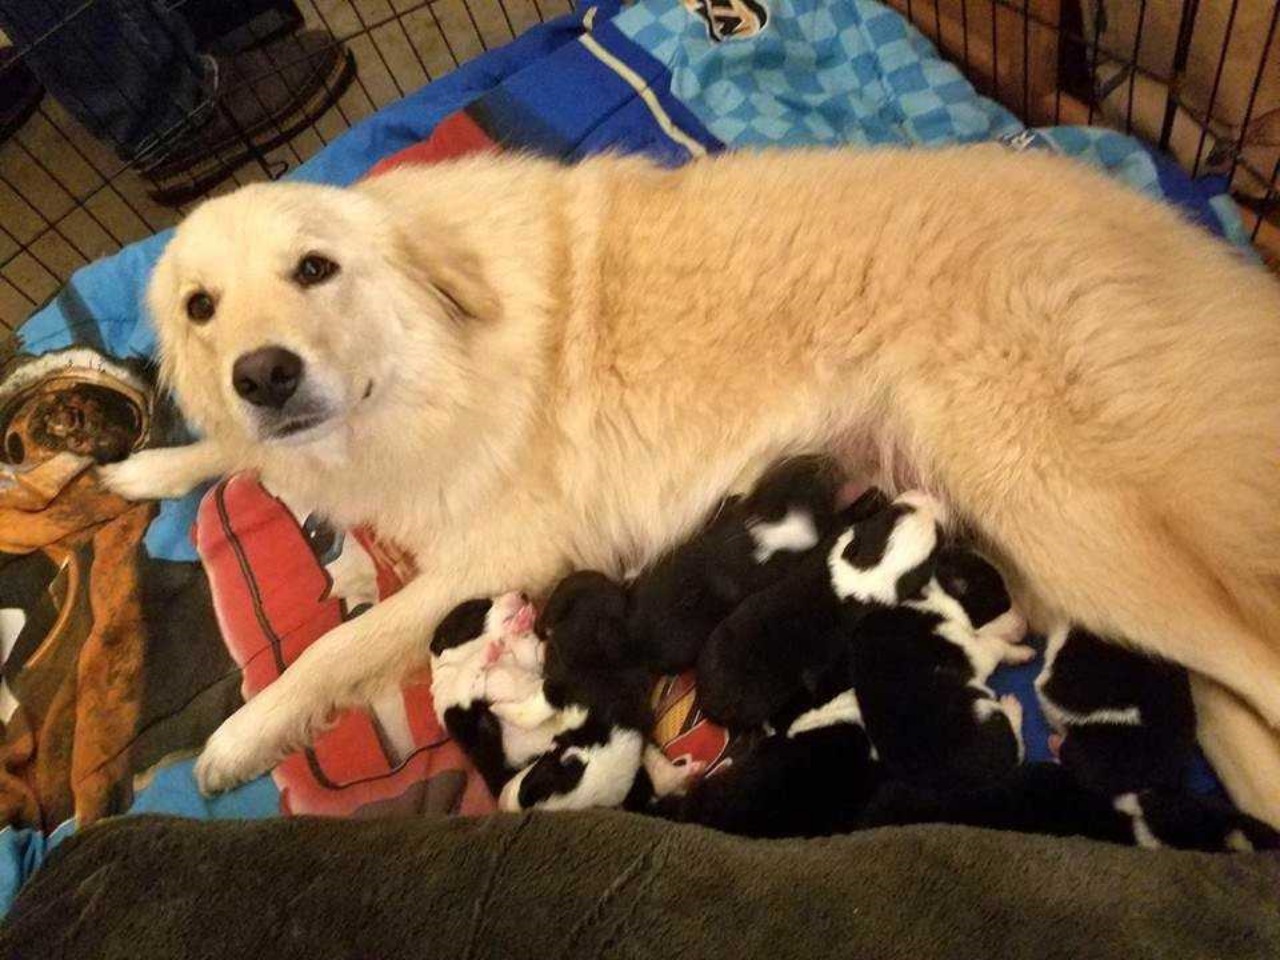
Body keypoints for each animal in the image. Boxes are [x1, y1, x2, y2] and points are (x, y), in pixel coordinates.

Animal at [849, 545, 1039, 793]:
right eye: (1003, 605)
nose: (1026, 624)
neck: (938, 599)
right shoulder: (975, 651)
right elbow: (996, 645)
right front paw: (1022, 653)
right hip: (984, 709)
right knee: (1018, 748)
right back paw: (1012, 706)